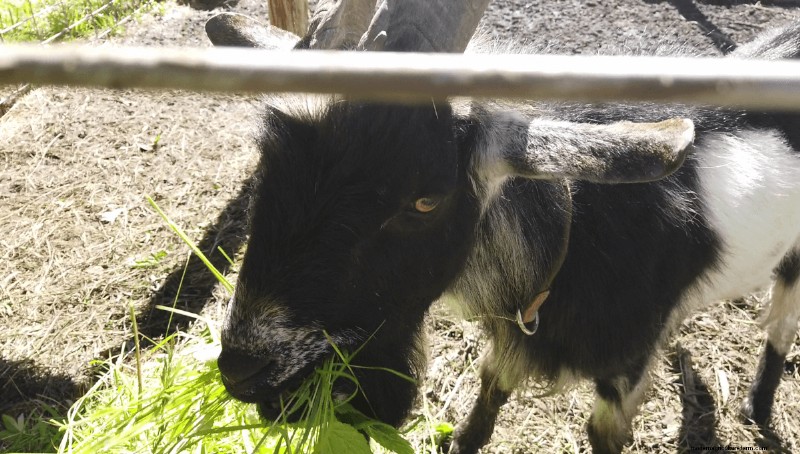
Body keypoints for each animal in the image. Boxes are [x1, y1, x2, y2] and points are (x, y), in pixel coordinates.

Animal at [208, 2, 800, 452]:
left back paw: (758, 405)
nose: (242, 371)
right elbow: (486, 401)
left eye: (425, 201)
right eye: (268, 163)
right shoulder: (514, 338)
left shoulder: (623, 375)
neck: (576, 237)